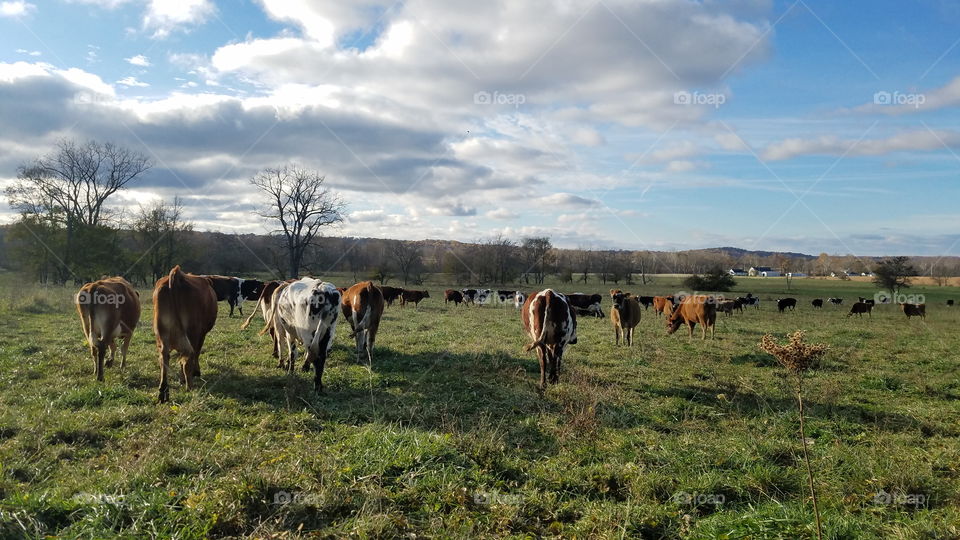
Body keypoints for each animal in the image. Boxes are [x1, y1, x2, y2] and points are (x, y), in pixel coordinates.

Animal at [153, 266, 218, 400]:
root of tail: (177, 275)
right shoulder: (201, 335)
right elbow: (195, 354)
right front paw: (195, 372)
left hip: (161, 335)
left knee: (164, 359)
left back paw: (163, 391)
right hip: (192, 334)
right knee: (187, 359)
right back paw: (189, 387)